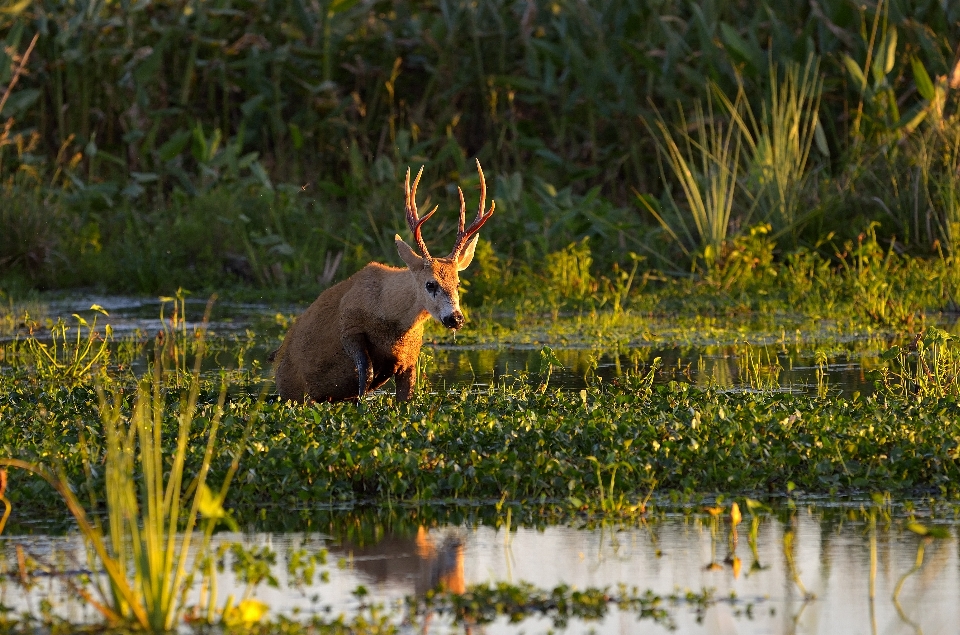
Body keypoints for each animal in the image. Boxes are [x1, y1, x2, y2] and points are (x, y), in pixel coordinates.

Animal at [270, 161, 496, 404]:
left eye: (457, 284)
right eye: (430, 284)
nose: (456, 318)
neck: (389, 313)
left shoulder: (410, 353)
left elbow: (406, 397)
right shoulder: (349, 327)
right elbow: (365, 375)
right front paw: (361, 405)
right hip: (291, 389)